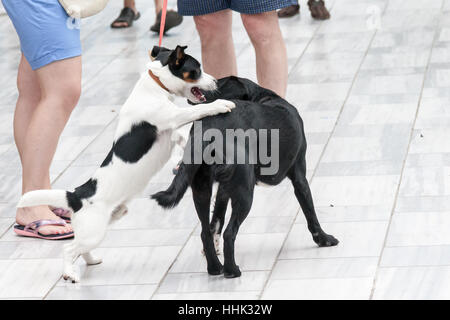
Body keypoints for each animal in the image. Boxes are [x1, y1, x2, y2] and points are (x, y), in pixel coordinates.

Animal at [17, 45, 236, 282]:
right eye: (196, 70)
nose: (215, 82)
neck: (154, 85)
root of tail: (76, 195)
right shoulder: (173, 116)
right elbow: (198, 110)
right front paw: (222, 104)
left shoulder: (173, 133)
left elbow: (183, 138)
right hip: (93, 231)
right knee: (69, 249)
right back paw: (69, 274)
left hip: (104, 223)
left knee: (81, 249)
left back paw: (92, 260)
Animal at [153, 75, 340, 278]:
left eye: (217, 82)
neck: (262, 96)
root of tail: (209, 131)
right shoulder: (300, 177)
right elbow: (310, 211)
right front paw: (324, 239)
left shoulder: (223, 190)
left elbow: (216, 221)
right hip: (245, 192)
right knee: (230, 233)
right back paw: (231, 270)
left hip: (201, 189)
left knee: (204, 231)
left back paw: (215, 267)